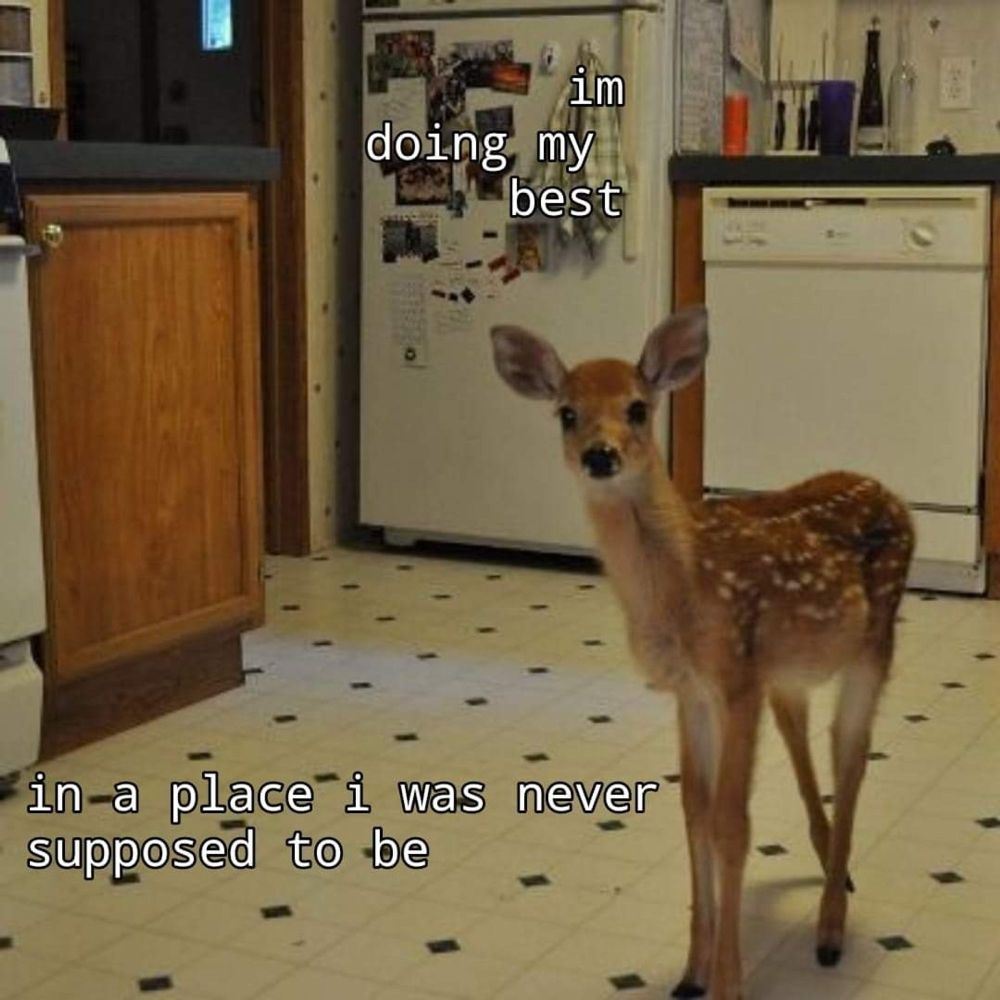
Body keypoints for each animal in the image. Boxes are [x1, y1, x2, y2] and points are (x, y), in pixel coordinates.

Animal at [490, 306, 914, 1000]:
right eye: (566, 413)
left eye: (638, 408)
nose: (601, 455)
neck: (683, 588)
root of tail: (893, 494)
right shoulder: (692, 690)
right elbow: (693, 810)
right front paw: (693, 970)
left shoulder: (734, 681)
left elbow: (730, 823)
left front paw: (728, 982)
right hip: (787, 672)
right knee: (804, 739)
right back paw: (835, 867)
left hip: (874, 643)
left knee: (851, 756)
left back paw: (830, 928)